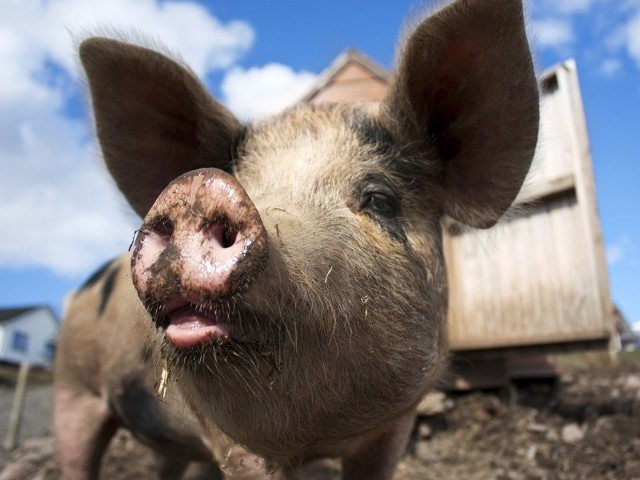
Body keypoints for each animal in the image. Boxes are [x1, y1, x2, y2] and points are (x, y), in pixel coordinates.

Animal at [53, 0, 540, 478]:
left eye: (379, 199)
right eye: (244, 181)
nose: (196, 188)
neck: (325, 440)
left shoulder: (394, 431)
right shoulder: (233, 444)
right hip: (71, 390)